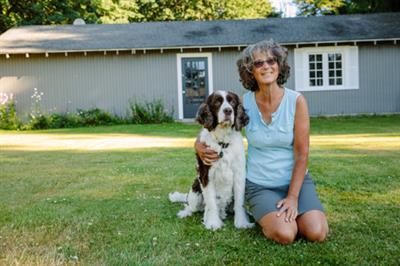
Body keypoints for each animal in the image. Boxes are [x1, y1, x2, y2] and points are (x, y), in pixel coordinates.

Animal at [169, 90, 253, 230]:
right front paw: (213, 223)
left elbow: (239, 202)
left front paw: (242, 223)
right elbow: (211, 202)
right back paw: (186, 213)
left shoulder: (239, 174)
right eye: (217, 102)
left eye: (232, 102)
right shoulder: (206, 175)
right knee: (191, 206)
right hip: (195, 191)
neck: (222, 143)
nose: (228, 111)